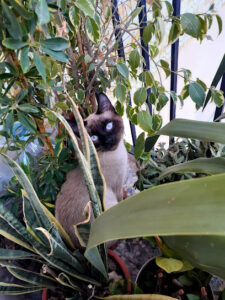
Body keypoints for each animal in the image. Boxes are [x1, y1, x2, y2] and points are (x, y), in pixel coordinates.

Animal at [55, 93, 127, 246]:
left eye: (109, 126)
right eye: (94, 138)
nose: (109, 140)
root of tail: (79, 245)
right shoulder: (117, 185)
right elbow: (120, 198)